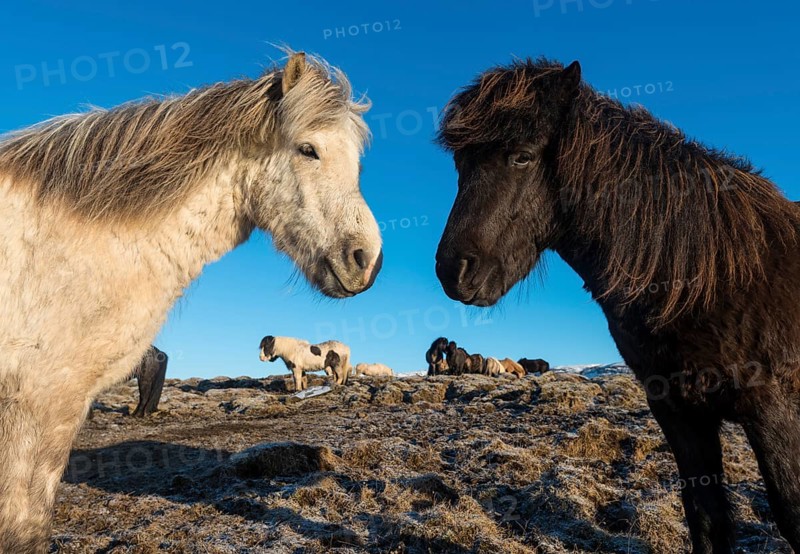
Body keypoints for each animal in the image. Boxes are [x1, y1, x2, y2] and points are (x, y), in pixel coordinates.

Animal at [434, 57, 800, 552]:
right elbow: (706, 519)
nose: (452, 271)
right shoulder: (679, 414)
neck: (713, 275)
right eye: (461, 163)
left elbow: (790, 513)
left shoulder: (773, 409)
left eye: (522, 155)